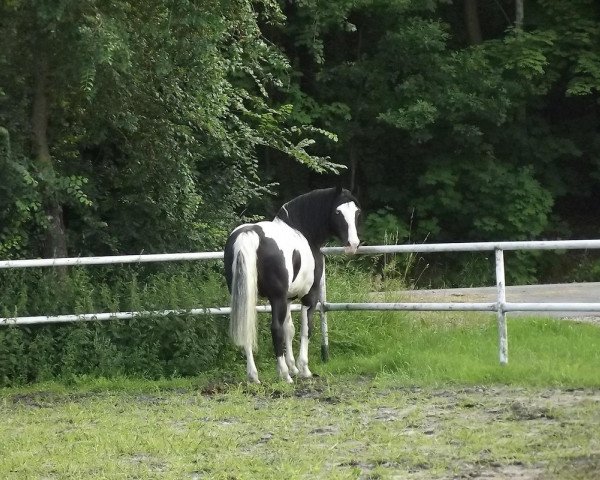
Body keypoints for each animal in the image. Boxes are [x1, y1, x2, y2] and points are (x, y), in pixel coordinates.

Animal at [223, 187, 358, 382]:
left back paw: (254, 376)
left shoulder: (287, 299)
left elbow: (290, 329)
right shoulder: (309, 297)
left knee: (247, 328)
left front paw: (293, 367)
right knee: (276, 329)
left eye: (356, 212)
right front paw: (303, 369)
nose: (352, 244)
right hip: (276, 298)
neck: (302, 231)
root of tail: (249, 234)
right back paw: (284, 375)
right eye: (338, 212)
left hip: (247, 296)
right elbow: (305, 329)